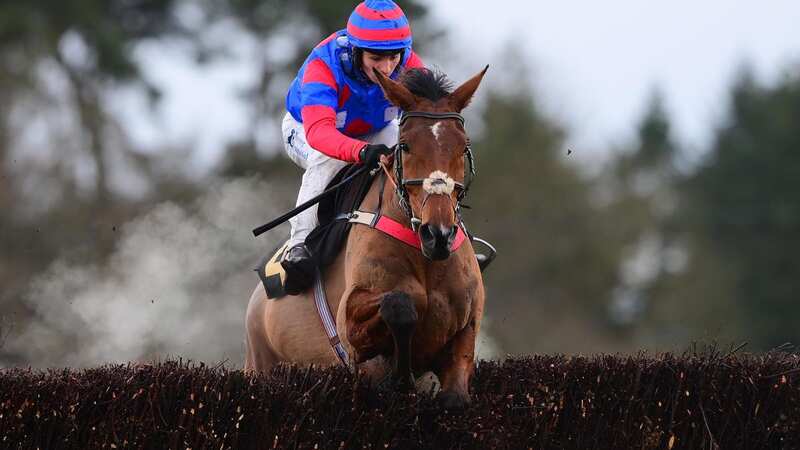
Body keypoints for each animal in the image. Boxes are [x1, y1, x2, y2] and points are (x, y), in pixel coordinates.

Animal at [245, 66, 488, 408]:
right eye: (405, 145)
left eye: (463, 146)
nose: (438, 234)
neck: (426, 257)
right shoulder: (351, 329)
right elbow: (399, 304)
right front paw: (399, 377)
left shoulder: (464, 335)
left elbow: (454, 395)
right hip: (259, 364)